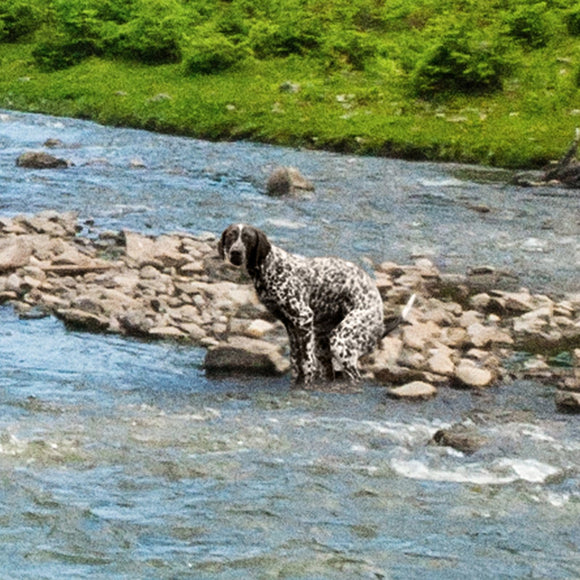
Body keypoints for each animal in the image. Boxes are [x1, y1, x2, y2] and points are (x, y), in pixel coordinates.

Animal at [218, 224, 412, 388]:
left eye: (248, 238)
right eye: (231, 235)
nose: (235, 252)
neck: (269, 266)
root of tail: (381, 320)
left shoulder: (304, 319)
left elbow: (307, 364)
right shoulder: (291, 326)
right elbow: (296, 363)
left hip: (341, 343)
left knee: (354, 376)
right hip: (323, 344)